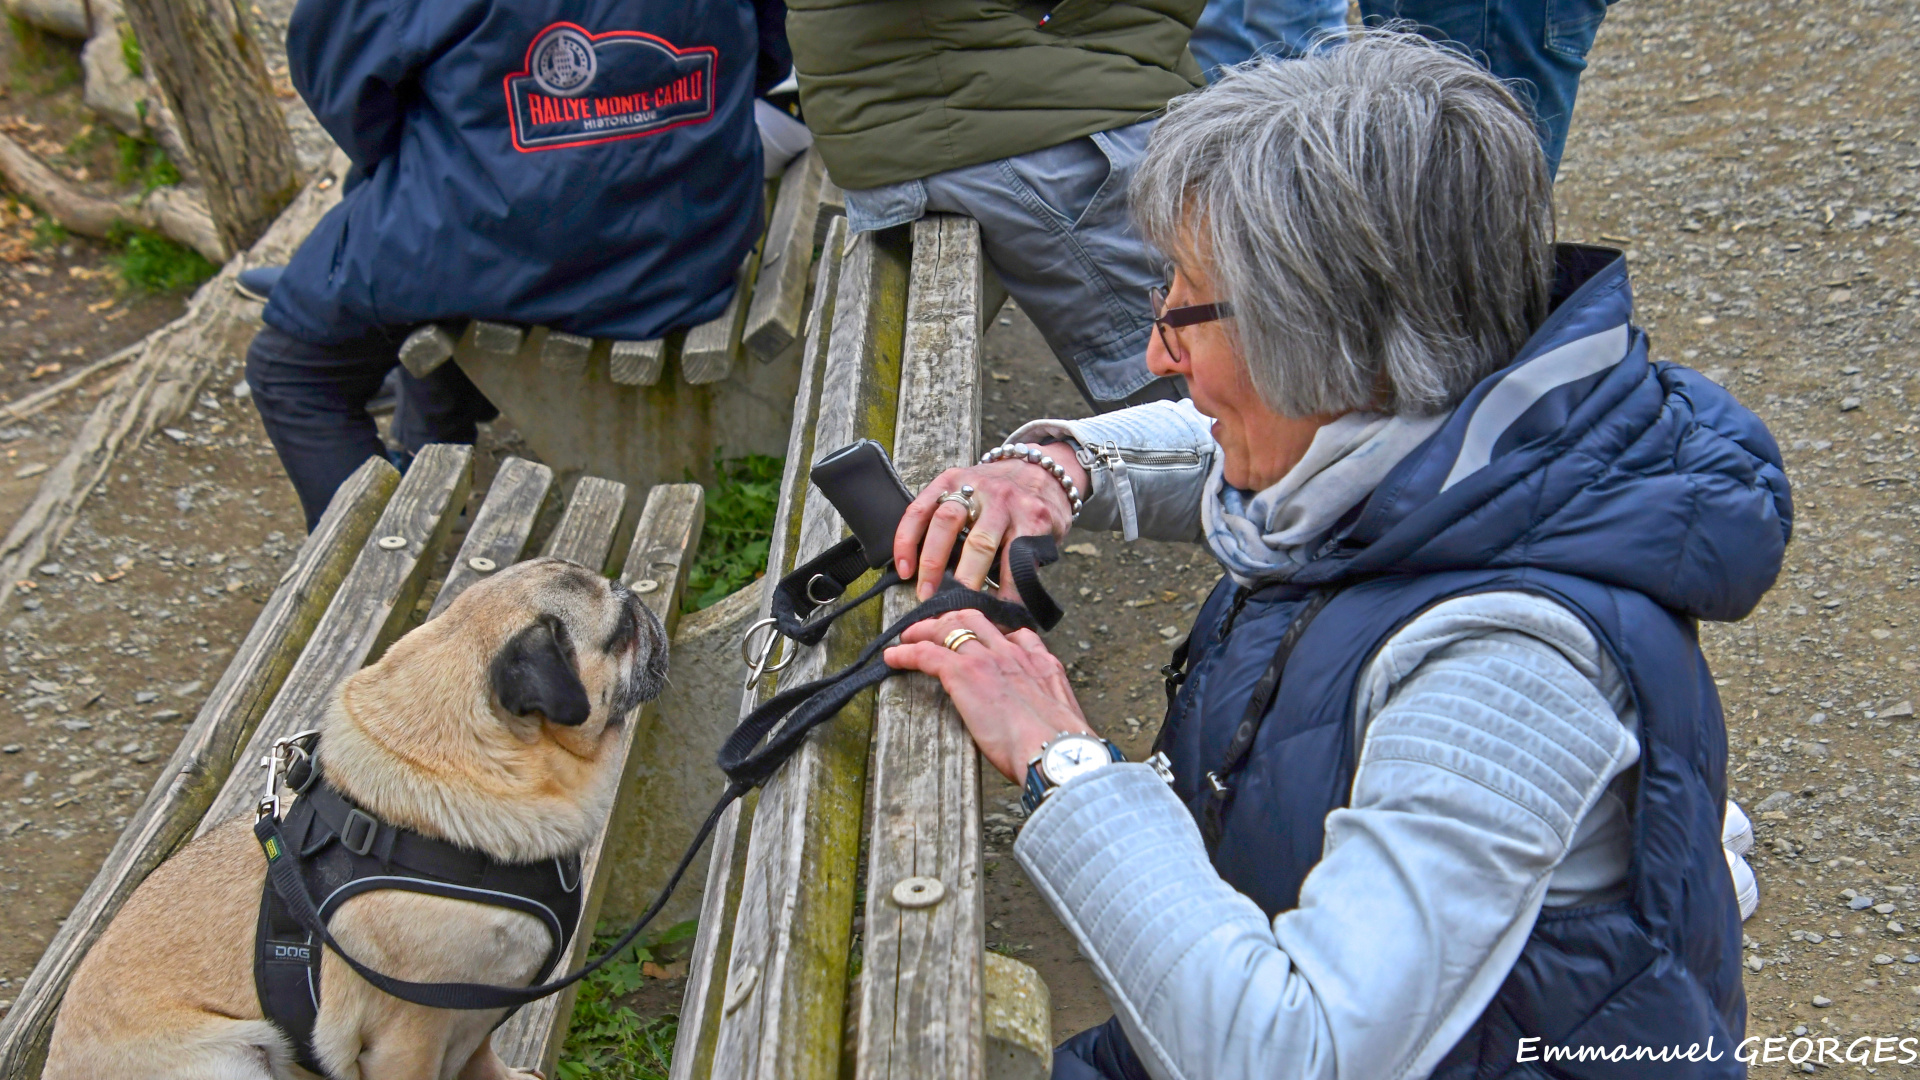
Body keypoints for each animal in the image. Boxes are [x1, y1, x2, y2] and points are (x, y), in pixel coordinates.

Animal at [46, 557, 667, 1080]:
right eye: (623, 629)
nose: (645, 605)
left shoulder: (479, 1020)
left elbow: (482, 1060)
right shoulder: (407, 1037)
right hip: (236, 1054)